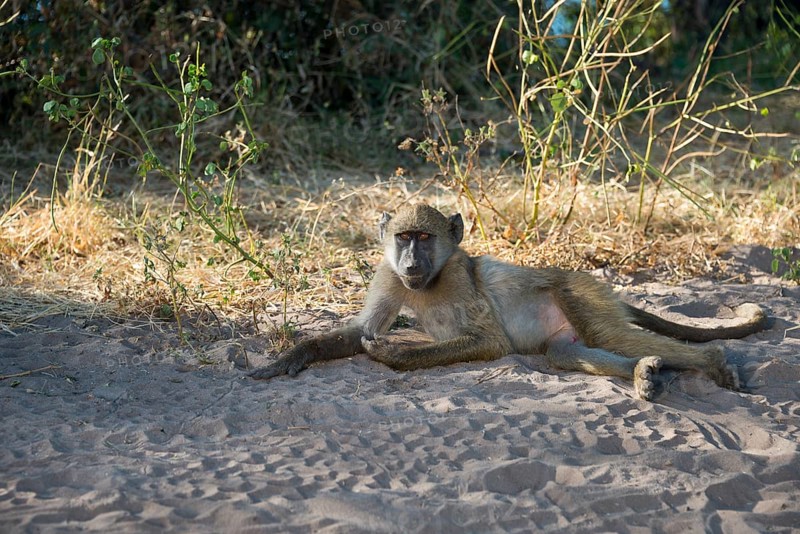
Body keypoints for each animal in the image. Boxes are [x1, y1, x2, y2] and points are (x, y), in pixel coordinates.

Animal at [250, 204, 767, 400]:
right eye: (403, 237)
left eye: (425, 237)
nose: (412, 260)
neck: (430, 280)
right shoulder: (389, 274)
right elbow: (360, 331)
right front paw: (291, 357)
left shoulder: (460, 280)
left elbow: (493, 342)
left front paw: (394, 355)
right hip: (565, 330)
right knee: (566, 353)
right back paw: (644, 372)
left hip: (578, 293)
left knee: (609, 333)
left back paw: (712, 361)